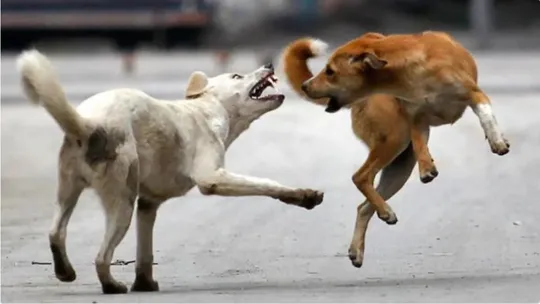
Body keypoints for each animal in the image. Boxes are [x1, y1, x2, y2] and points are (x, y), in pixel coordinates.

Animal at [16, 50, 324, 294]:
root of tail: (89, 124)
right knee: (101, 257)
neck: (208, 109)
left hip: (69, 188)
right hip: (122, 200)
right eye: (237, 75)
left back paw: (65, 271)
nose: (270, 64)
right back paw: (112, 286)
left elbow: (145, 252)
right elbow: (266, 183)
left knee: (56, 232)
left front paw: (144, 284)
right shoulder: (212, 178)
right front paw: (304, 196)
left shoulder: (148, 204)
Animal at [282, 31, 510, 268]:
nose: (305, 85)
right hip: (395, 140)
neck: (414, 73)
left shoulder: (473, 94)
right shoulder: (415, 118)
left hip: (398, 166)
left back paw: (361, 243)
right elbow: (419, 141)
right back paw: (385, 211)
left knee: (363, 206)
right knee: (360, 177)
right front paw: (426, 166)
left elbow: (485, 114)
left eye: (330, 71)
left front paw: (497, 140)